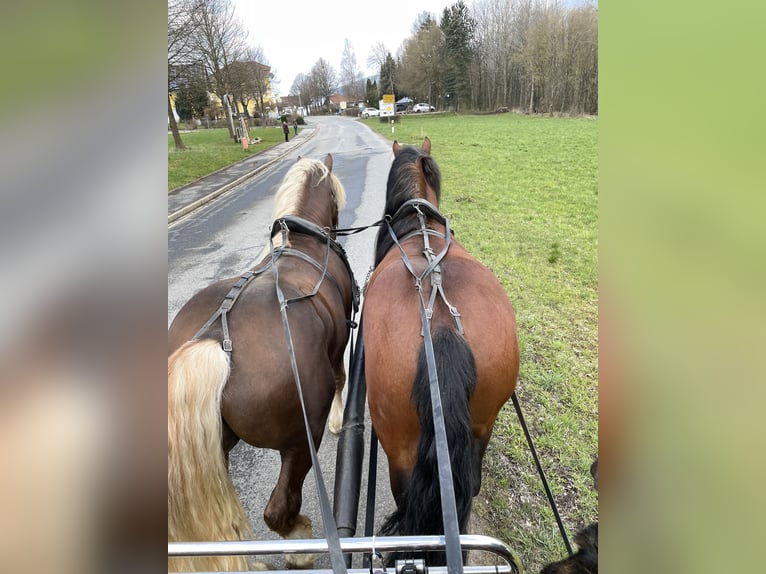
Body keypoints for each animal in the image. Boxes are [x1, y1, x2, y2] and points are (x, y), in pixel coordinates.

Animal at [168, 155, 356, 572]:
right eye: (334, 194)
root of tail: (213, 341)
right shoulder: (339, 347)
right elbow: (341, 377)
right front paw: (339, 419)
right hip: (300, 441)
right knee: (278, 509)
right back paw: (299, 544)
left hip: (215, 446)